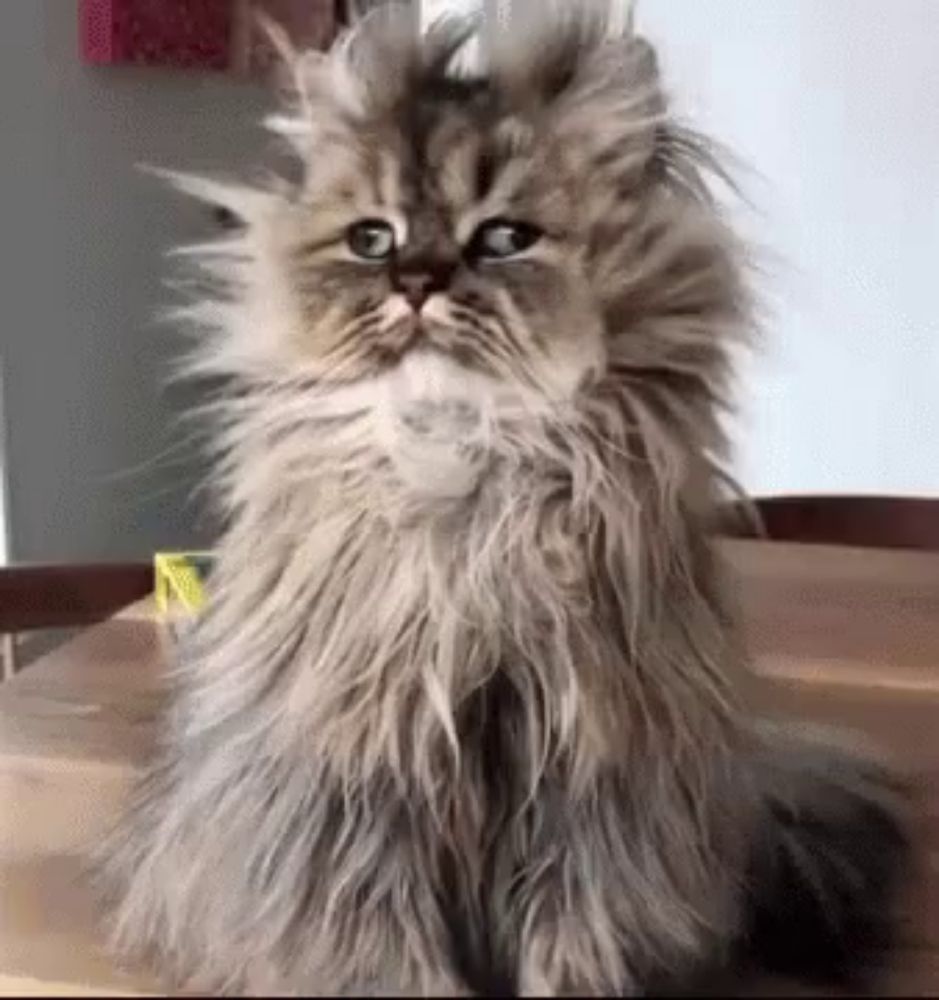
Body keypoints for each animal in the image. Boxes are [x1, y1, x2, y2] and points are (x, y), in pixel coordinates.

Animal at [97, 5, 912, 992]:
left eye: (503, 239)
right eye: (371, 240)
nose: (416, 281)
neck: (460, 472)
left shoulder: (589, 786)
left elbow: (571, 940)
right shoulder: (362, 789)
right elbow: (386, 951)